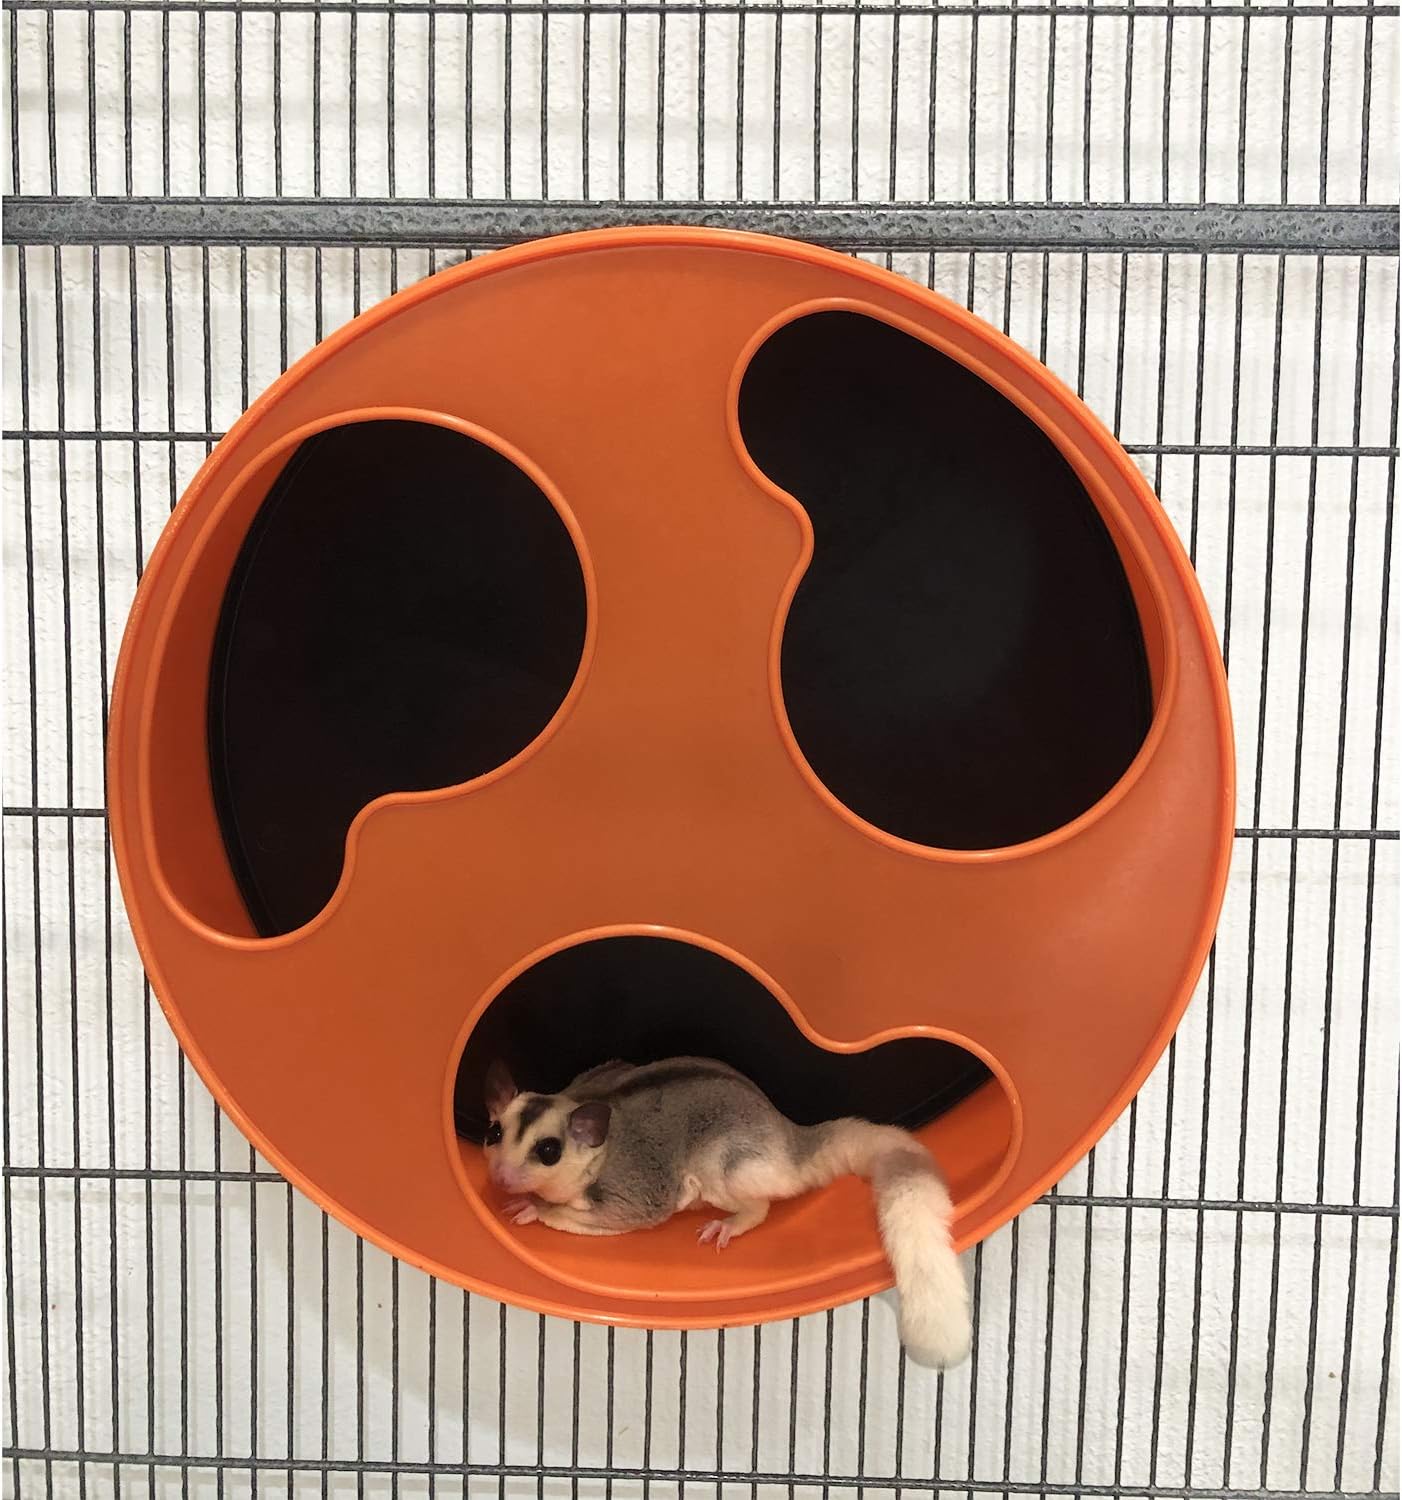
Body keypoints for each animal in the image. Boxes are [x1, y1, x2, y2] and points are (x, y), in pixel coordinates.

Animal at [482, 1056, 971, 1369]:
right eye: (494, 1133)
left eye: (548, 1151)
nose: (501, 1178)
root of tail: (792, 1140)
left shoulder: (632, 1192)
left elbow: (615, 1214)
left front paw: (532, 1208)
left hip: (727, 1165)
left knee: (758, 1204)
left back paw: (730, 1224)